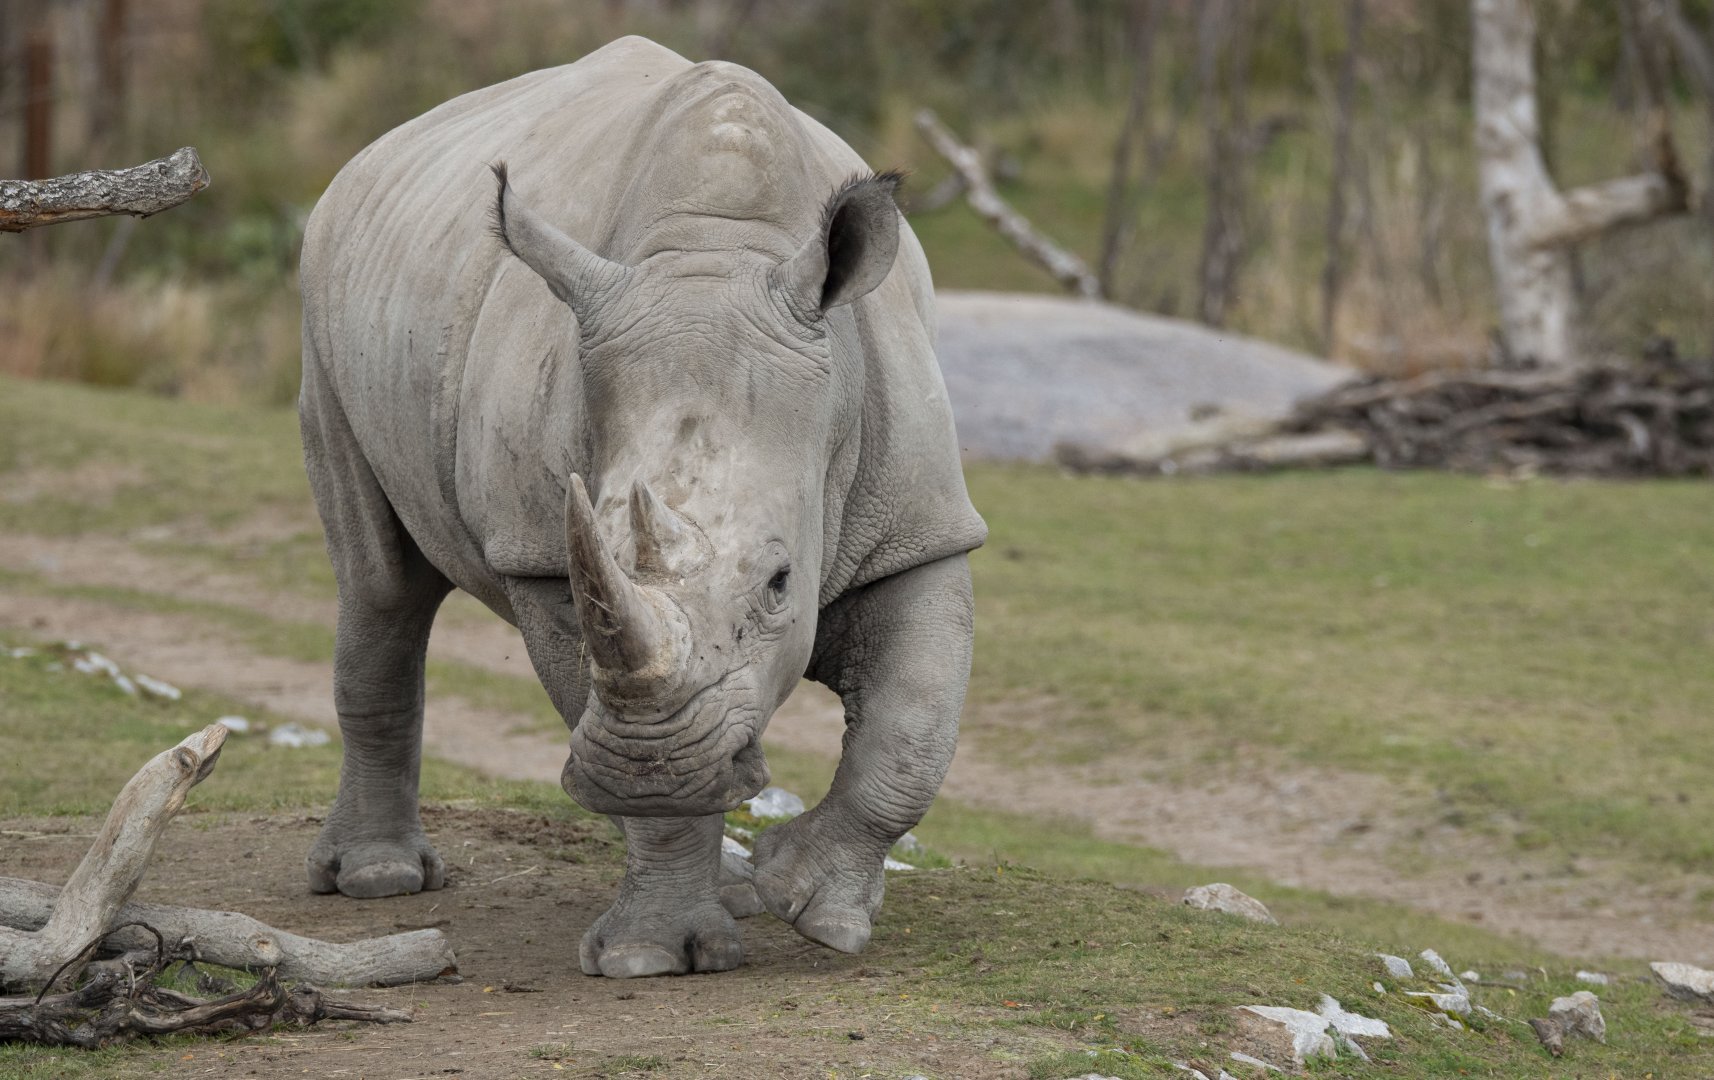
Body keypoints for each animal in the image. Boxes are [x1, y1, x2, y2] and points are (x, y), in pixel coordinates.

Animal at [297, 36, 986, 978]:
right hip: (322, 296)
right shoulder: (542, 560)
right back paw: (380, 880)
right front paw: (654, 954)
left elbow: (914, 729)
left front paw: (811, 906)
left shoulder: (919, 528)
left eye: (781, 582)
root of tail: (365, 158)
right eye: (594, 554)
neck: (717, 252)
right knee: (379, 583)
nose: (642, 764)